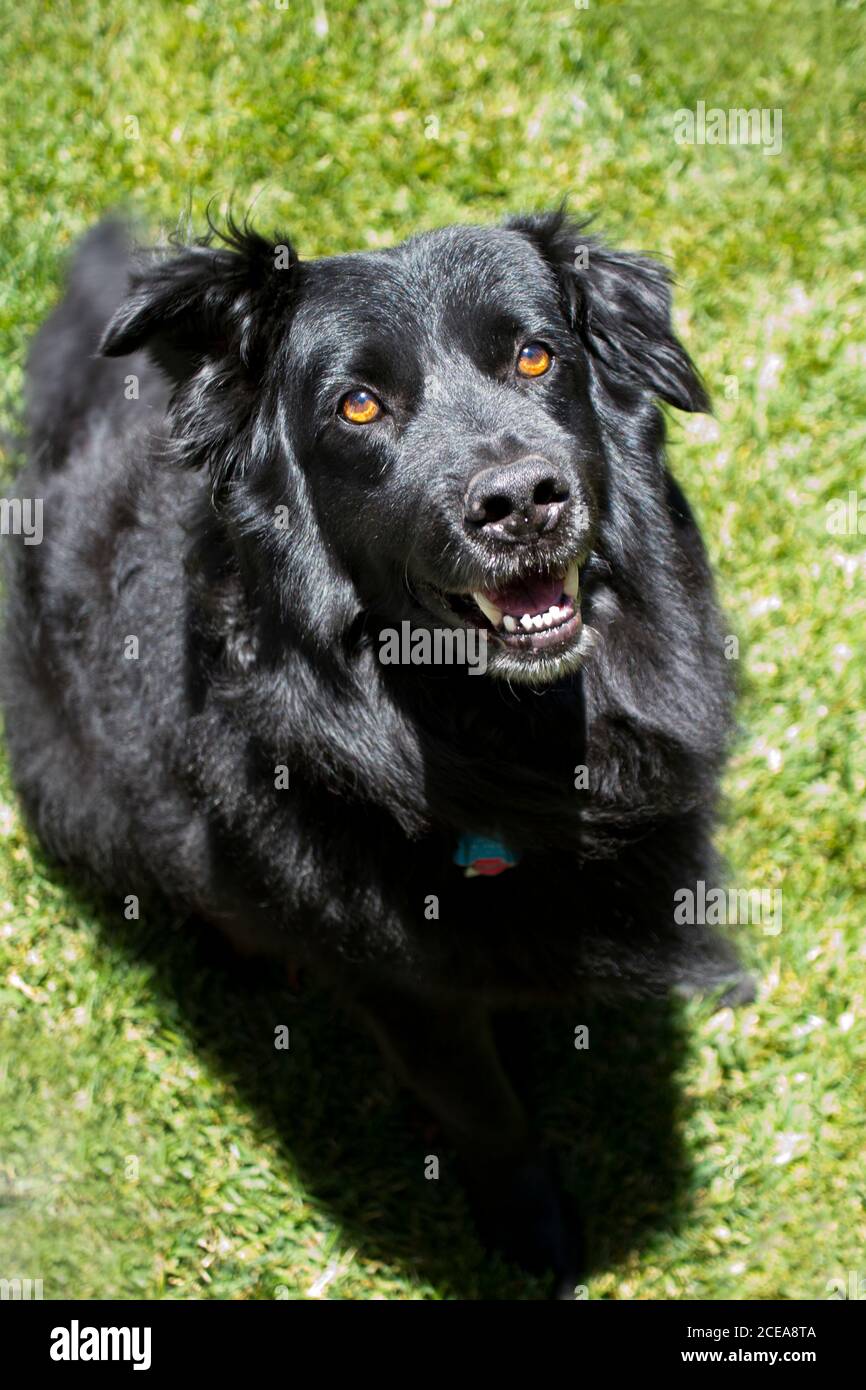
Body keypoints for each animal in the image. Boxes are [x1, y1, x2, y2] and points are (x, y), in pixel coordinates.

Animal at [0, 211, 750, 1295]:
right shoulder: (405, 988)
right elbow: (487, 1112)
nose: (523, 499)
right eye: (357, 406)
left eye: (535, 355)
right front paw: (534, 1232)